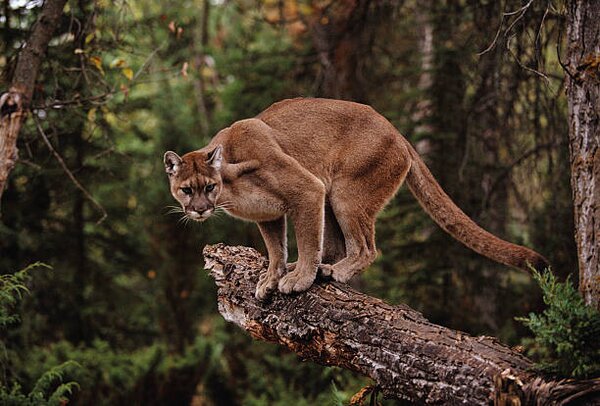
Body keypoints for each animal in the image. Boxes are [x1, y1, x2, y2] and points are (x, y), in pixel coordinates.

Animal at [164, 97, 548, 300]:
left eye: (208, 187)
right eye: (186, 190)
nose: (199, 210)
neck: (231, 184)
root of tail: (396, 131)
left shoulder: (307, 189)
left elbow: (306, 241)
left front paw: (297, 280)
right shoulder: (269, 215)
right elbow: (276, 249)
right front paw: (272, 277)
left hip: (344, 194)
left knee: (365, 247)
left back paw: (332, 272)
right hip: (333, 198)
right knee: (336, 245)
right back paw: (324, 268)